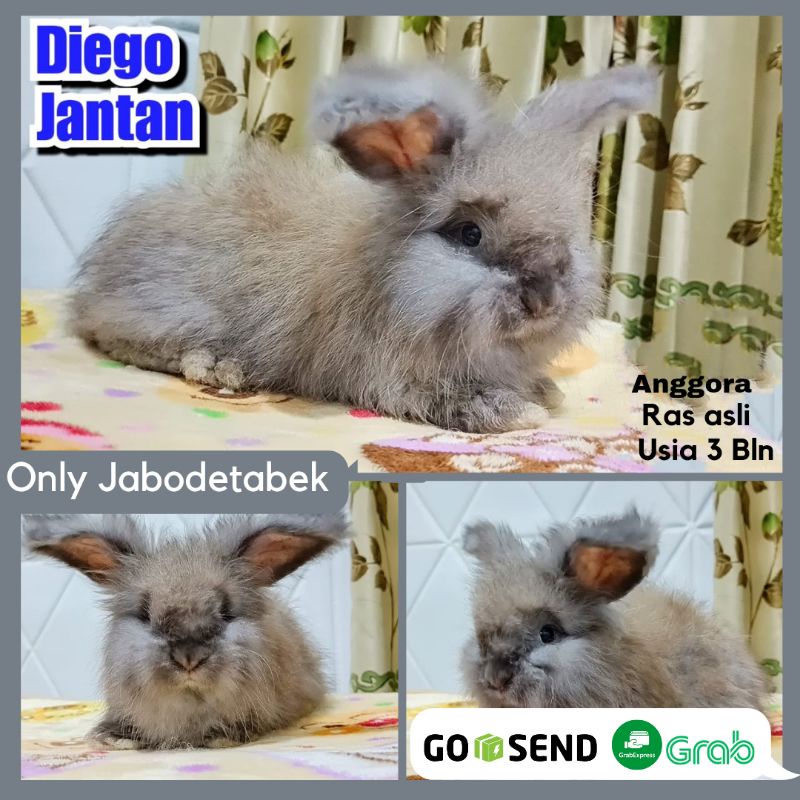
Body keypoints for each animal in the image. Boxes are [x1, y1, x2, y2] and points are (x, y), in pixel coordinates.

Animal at [71, 60, 656, 433]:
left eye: (570, 234)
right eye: (468, 233)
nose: (543, 298)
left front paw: (545, 392)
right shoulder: (386, 375)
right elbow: (443, 399)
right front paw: (519, 413)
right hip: (167, 310)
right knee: (121, 339)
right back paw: (219, 367)